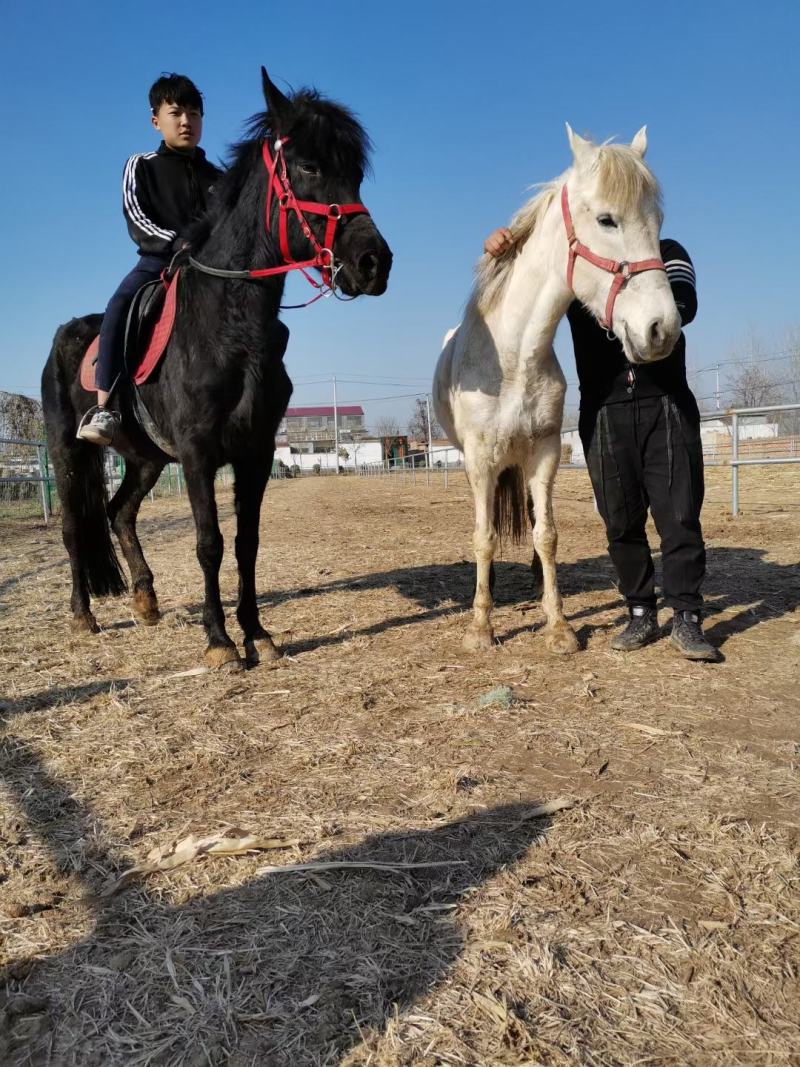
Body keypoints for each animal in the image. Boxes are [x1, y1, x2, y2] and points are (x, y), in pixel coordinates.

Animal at [41, 68, 392, 669]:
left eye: (356, 173)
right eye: (309, 167)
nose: (375, 262)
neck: (230, 326)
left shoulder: (254, 452)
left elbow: (247, 544)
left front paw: (257, 633)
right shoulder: (199, 452)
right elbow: (210, 542)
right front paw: (220, 642)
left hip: (146, 458)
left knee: (120, 512)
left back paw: (146, 601)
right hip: (69, 453)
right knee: (73, 528)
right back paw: (83, 616)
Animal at [433, 125, 680, 655]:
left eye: (658, 221)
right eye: (606, 219)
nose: (662, 329)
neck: (513, 359)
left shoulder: (544, 452)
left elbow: (546, 533)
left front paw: (559, 625)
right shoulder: (480, 459)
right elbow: (483, 536)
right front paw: (481, 626)